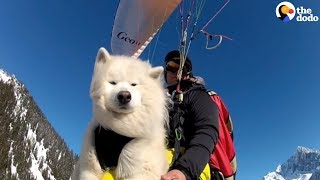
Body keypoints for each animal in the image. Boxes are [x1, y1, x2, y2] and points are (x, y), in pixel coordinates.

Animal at [71, 47, 169, 180]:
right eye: (113, 82)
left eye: (134, 84)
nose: (124, 96)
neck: (119, 132)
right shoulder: (90, 168)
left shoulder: (139, 170)